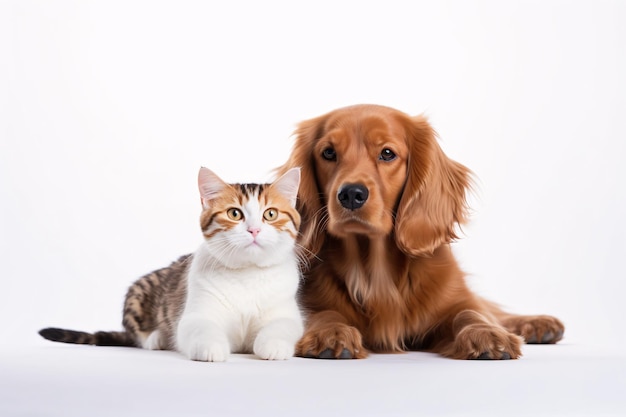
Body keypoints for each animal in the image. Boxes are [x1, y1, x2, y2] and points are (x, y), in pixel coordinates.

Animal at [38, 166, 302, 360]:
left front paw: (274, 345)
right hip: (137, 291)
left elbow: (283, 326)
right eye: (234, 213)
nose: (254, 230)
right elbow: (200, 327)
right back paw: (157, 338)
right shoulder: (194, 313)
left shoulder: (288, 312)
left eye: (270, 214)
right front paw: (211, 347)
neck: (247, 273)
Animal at [276, 104, 564, 358]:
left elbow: (471, 313)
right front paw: (330, 332)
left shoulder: (456, 299)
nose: (350, 194)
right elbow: (322, 313)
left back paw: (536, 323)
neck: (376, 275)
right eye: (328, 153)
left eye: (387, 153)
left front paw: (486, 333)